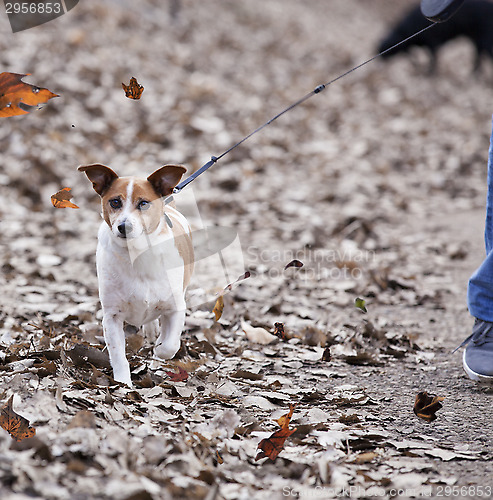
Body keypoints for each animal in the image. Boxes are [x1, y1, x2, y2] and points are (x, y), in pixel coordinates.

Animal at [78, 164, 193, 386]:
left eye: (143, 203)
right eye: (115, 202)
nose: (124, 226)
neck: (137, 254)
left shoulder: (176, 307)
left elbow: (169, 346)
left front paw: (159, 350)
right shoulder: (112, 316)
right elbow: (118, 355)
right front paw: (123, 383)